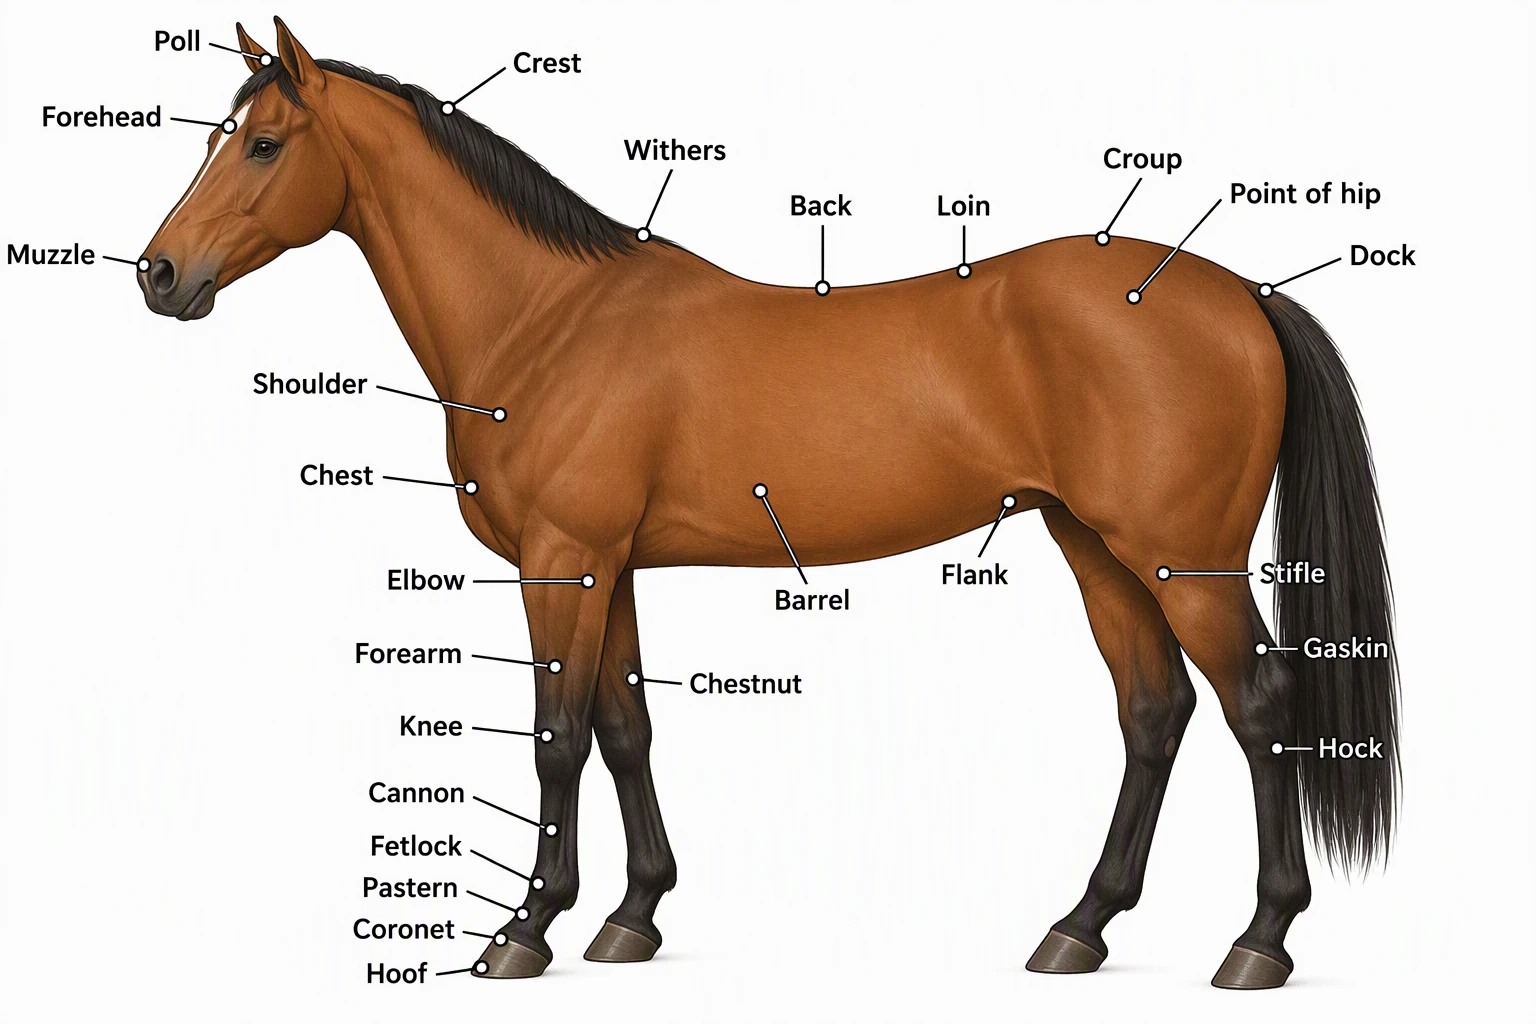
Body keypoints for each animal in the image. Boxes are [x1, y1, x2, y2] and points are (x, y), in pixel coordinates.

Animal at [137, 19, 1398, 989]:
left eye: (262, 144)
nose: (158, 274)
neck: (546, 321)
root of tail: (1239, 294)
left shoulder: (562, 557)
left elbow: (556, 739)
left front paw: (525, 932)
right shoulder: (611, 566)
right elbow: (625, 730)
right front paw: (632, 917)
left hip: (1184, 558)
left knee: (1257, 706)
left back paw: (1259, 941)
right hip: (1094, 544)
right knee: (1154, 712)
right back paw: (1077, 928)